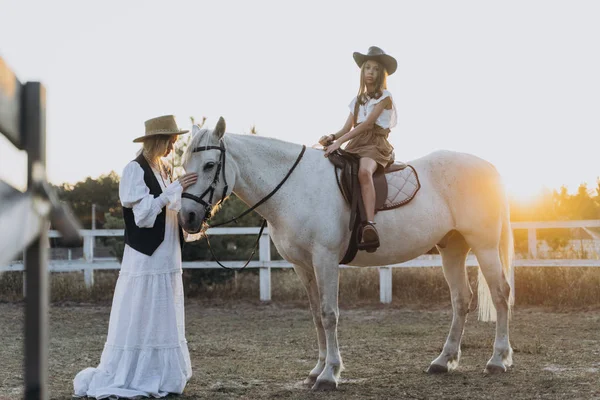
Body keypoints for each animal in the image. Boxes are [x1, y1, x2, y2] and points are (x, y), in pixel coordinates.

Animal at [180, 119, 512, 390]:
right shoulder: (303, 266)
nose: (187, 217)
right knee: (461, 300)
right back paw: (443, 361)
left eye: (209, 165)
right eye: (184, 165)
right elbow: (316, 315)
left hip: (483, 246)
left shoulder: (325, 259)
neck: (295, 188)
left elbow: (329, 314)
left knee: (500, 294)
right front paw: (316, 371)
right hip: (452, 248)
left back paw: (497, 360)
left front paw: (329, 375)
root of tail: (490, 168)